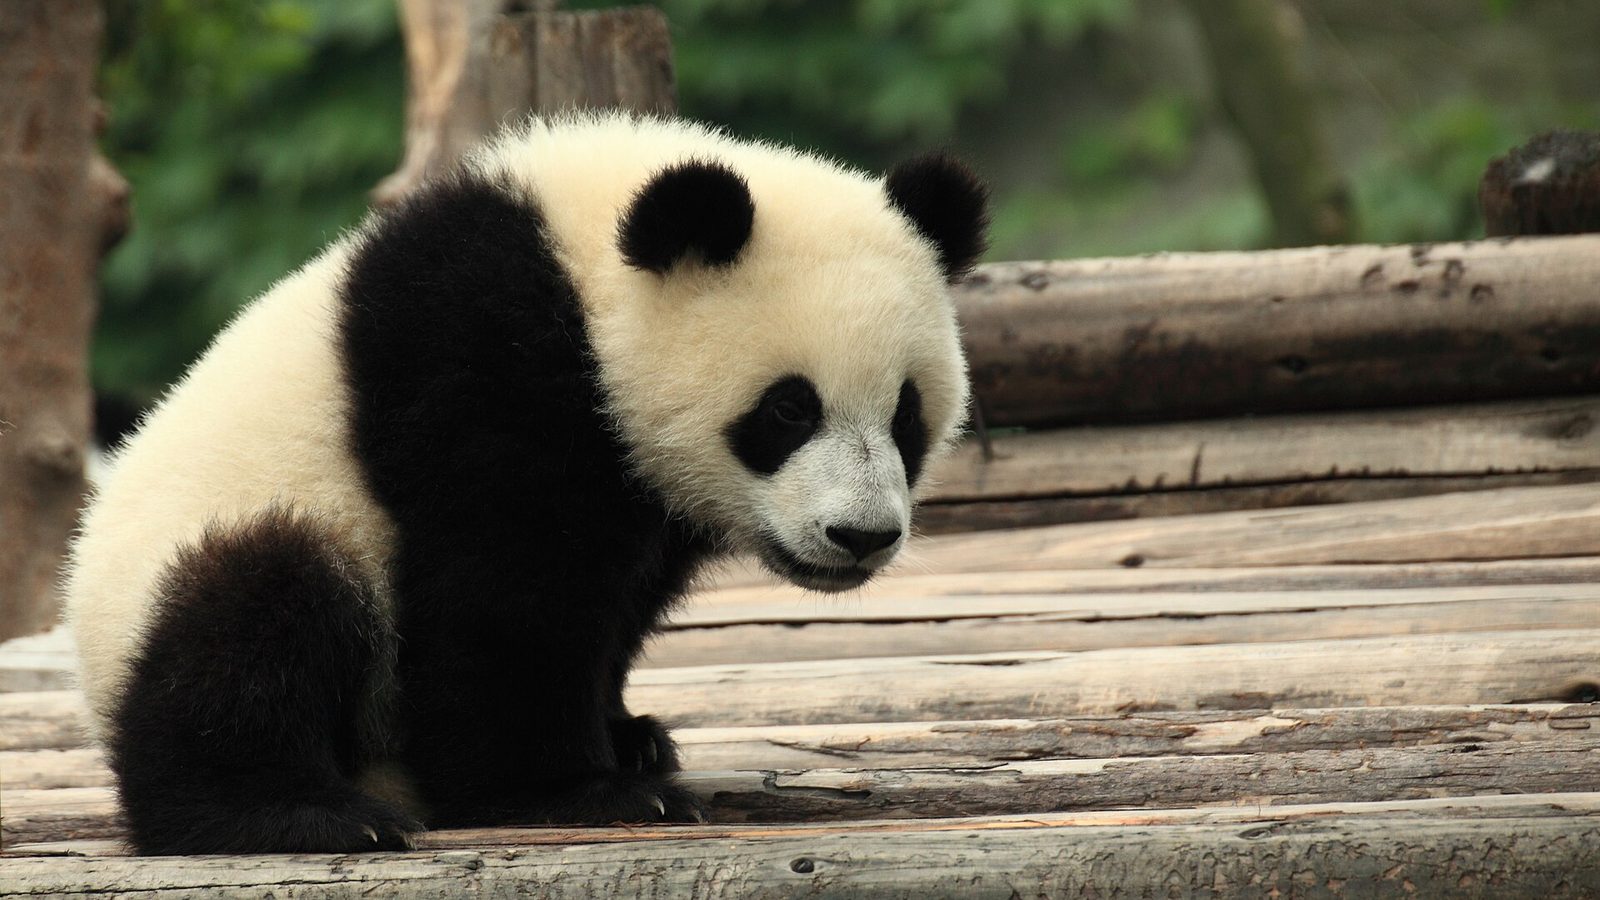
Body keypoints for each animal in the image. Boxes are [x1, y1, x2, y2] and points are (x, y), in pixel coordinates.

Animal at [65, 112, 987, 855]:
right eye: (789, 409)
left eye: (906, 414)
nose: (860, 536)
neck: (584, 273)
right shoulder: (478, 362)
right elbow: (505, 593)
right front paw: (582, 790)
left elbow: (614, 599)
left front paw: (627, 737)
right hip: (226, 545)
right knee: (255, 615)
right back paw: (293, 812)